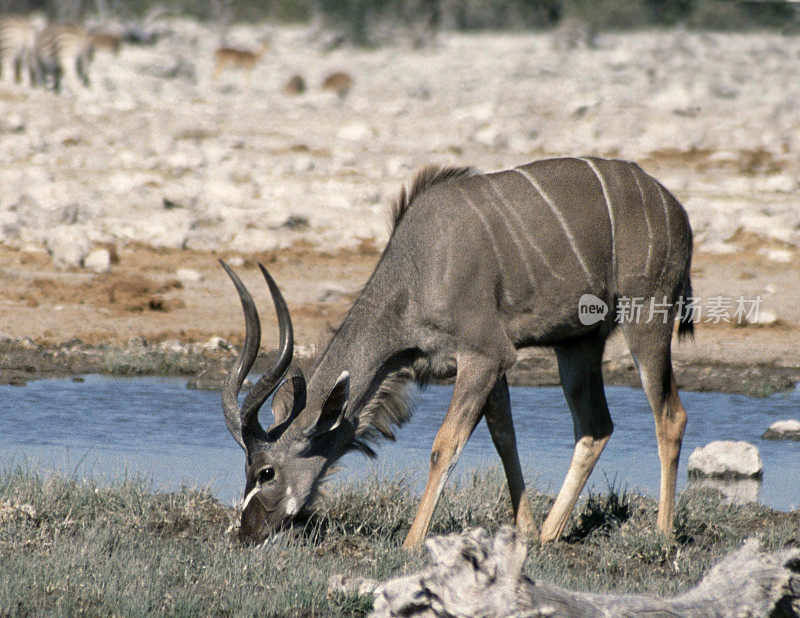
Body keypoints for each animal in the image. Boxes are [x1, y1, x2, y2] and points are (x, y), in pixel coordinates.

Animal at [220, 156, 692, 548]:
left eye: (265, 472)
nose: (245, 533)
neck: (418, 268)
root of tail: (675, 209)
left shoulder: (485, 355)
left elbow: (445, 444)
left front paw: (412, 542)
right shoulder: (487, 366)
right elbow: (503, 437)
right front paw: (524, 531)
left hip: (646, 318)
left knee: (670, 415)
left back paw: (662, 534)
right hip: (577, 344)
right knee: (595, 427)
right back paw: (549, 533)